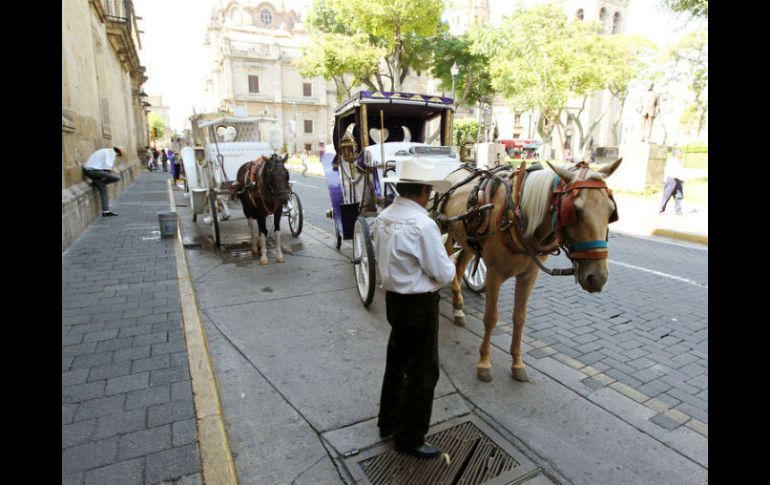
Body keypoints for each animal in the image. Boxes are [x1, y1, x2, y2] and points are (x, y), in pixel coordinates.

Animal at [438, 159, 622, 383]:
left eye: (611, 211)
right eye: (575, 212)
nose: (597, 277)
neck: (514, 214)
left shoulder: (529, 276)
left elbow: (520, 318)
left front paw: (517, 363)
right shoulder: (494, 274)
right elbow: (491, 317)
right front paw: (484, 363)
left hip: (468, 242)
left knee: (460, 266)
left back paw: (457, 308)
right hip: (444, 229)